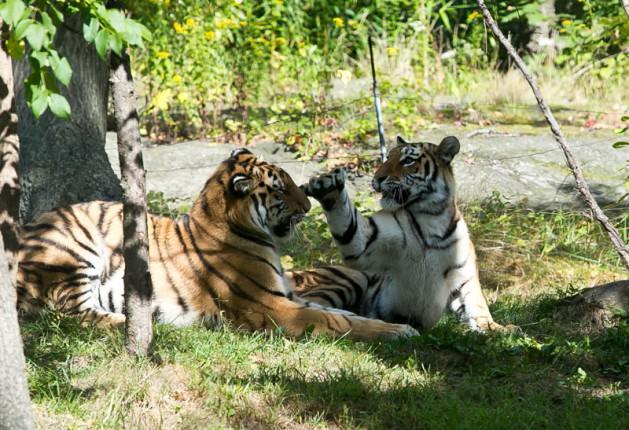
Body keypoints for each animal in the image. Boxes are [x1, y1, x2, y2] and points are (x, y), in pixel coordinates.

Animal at [15, 146, 418, 340]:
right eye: (279, 189)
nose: (306, 207)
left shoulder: (288, 295)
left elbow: (346, 314)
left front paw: (395, 327)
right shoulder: (272, 306)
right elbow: (334, 320)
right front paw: (401, 332)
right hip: (76, 249)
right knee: (73, 314)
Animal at [296, 135, 508, 332]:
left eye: (407, 161)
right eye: (388, 157)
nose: (377, 178)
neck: (431, 218)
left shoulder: (465, 276)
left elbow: (478, 306)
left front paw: (498, 329)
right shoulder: (365, 243)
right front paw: (329, 189)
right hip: (349, 279)